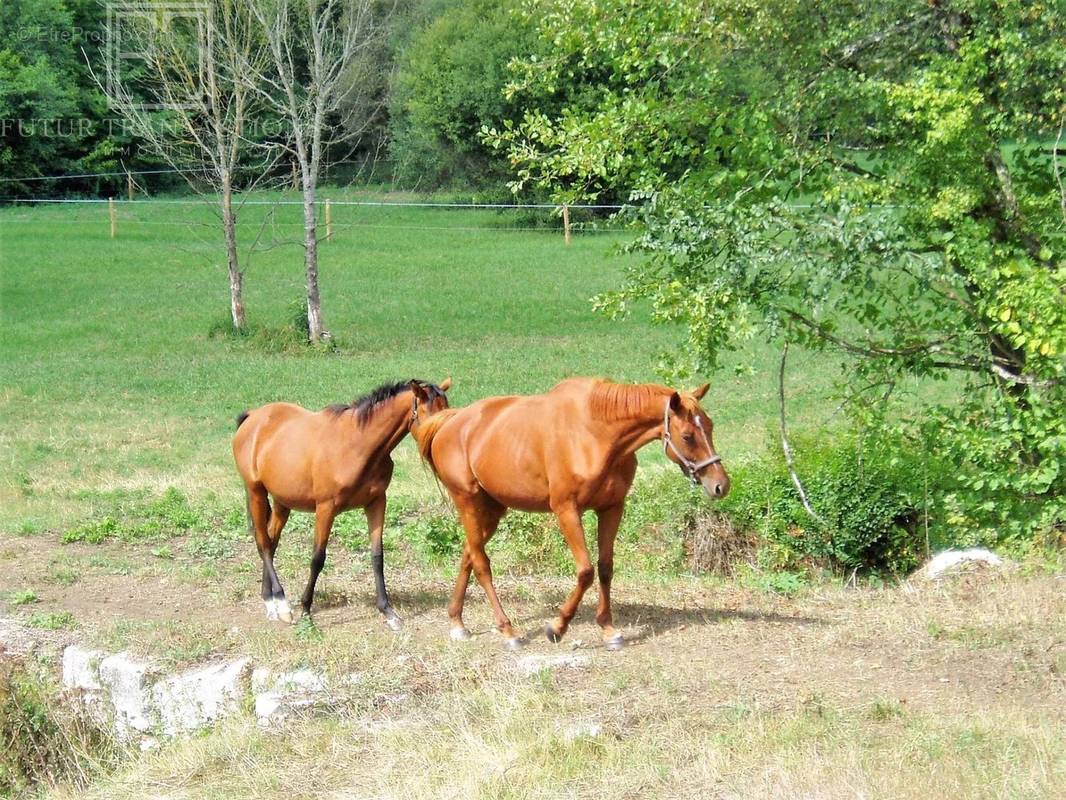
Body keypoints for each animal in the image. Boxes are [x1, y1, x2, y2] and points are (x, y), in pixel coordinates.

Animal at [233, 379, 449, 631]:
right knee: (264, 543)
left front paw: (388, 611)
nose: (441, 446)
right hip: (256, 492)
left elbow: (377, 557)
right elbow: (317, 558)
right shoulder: (326, 508)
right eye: (429, 413)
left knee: (271, 539)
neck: (357, 445)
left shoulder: (377, 503)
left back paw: (271, 602)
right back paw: (282, 605)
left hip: (281, 502)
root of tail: (253, 417)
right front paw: (306, 610)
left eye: (447, 408)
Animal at [411, 377, 729, 652]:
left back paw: (457, 621)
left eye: (710, 427)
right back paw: (508, 631)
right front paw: (557, 627)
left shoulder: (612, 508)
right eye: (687, 436)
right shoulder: (566, 511)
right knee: (481, 565)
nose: (720, 485)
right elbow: (586, 571)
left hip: (492, 510)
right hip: (468, 503)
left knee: (468, 554)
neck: (595, 434)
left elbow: (605, 568)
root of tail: (451, 421)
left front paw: (608, 630)